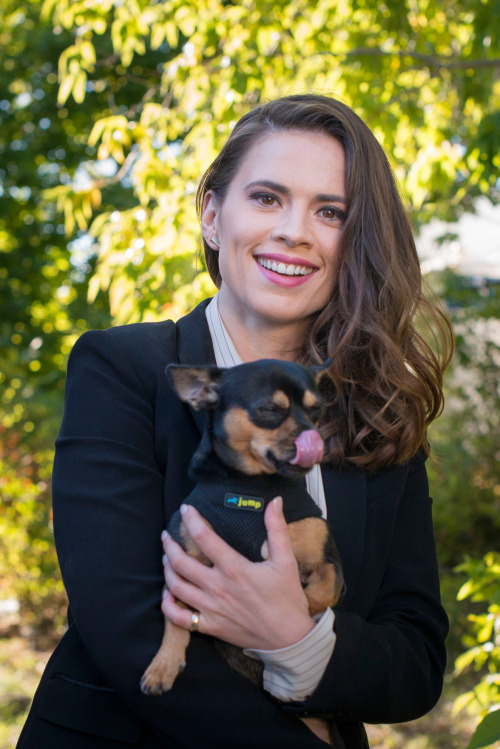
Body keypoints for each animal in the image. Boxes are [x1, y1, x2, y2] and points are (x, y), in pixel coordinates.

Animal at [141, 360, 344, 736]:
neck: (253, 488)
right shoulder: (184, 562)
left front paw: (299, 607)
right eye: (269, 410)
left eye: (317, 411)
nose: (314, 437)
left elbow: (325, 587)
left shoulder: (328, 561)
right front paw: (164, 664)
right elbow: (175, 619)